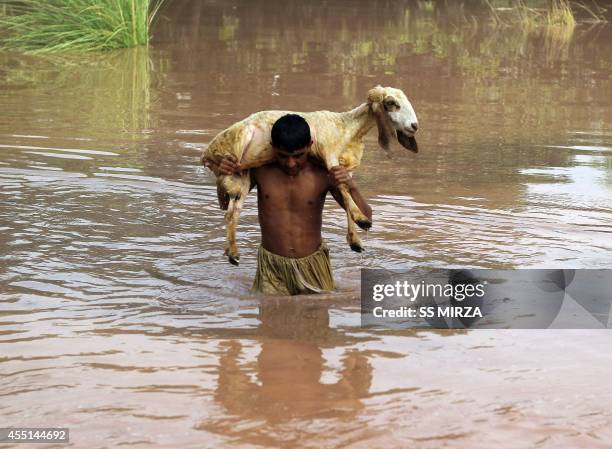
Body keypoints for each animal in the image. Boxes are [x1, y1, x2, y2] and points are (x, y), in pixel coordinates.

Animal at [203, 86, 418, 264]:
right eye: (392, 103)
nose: (414, 126)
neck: (349, 128)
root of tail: (207, 154)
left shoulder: (341, 165)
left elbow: (345, 191)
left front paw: (355, 239)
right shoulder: (329, 152)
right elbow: (344, 190)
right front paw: (361, 219)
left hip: (242, 175)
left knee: (232, 212)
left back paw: (232, 253)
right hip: (237, 154)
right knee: (231, 210)